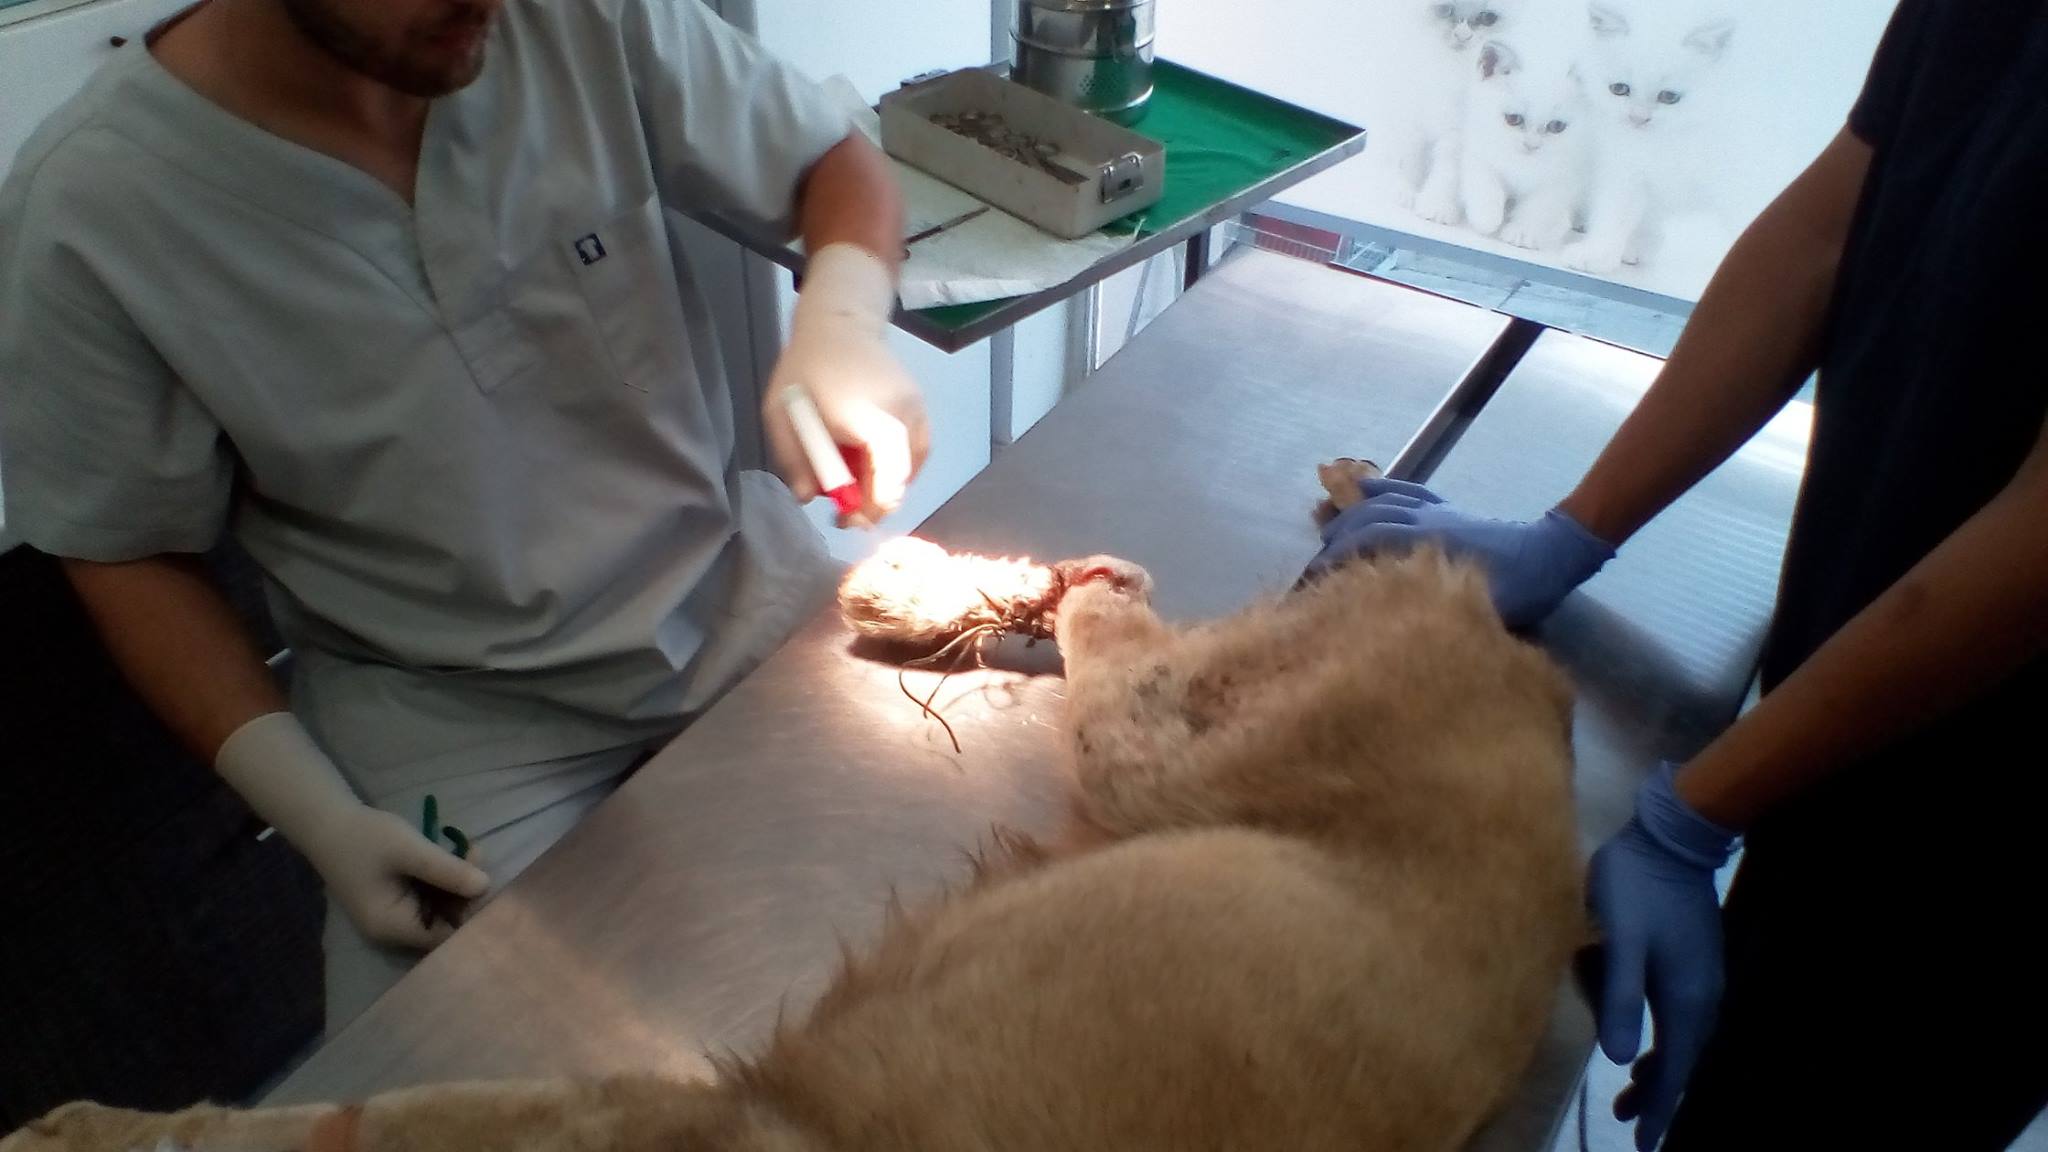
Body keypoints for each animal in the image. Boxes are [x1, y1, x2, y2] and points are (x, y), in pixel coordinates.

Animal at [4, 548, 1583, 1152]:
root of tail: (1542, 690)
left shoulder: (599, 1111)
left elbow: (303, 1122)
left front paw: (78, 1127)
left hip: (1159, 745)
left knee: (1112, 630)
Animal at [1458, 37, 1592, 250]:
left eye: (1556, 126)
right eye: (1513, 119)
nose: (1531, 145)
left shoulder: (1570, 174)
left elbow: (1540, 205)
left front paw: (1522, 232)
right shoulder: (1479, 144)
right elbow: (1485, 181)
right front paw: (1486, 217)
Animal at [1567, 0, 1737, 273]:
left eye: (1669, 96)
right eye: (1619, 89)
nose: (1638, 118)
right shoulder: (1627, 168)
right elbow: (1615, 211)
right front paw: (1597, 254)